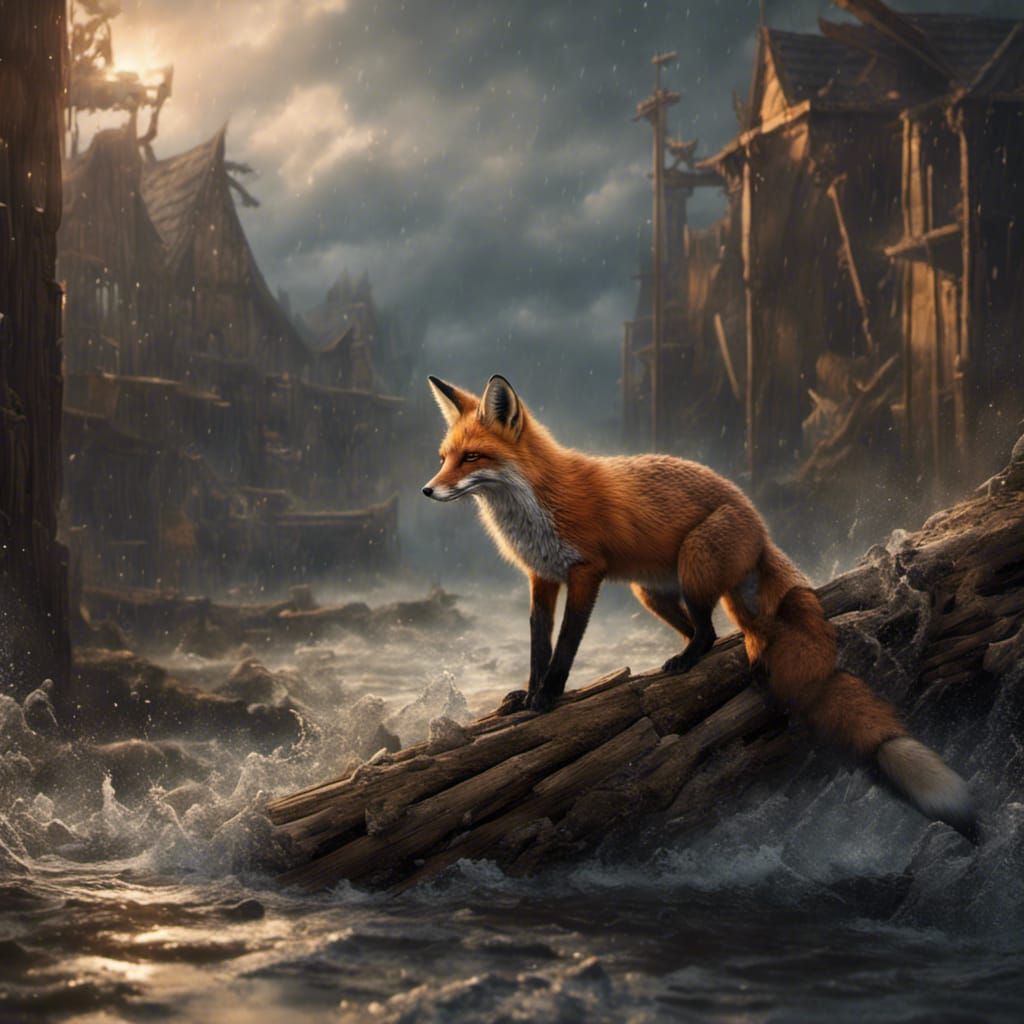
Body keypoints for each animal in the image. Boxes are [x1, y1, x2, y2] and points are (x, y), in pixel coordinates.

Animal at [422, 373, 977, 837]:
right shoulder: (541, 577)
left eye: (472, 458)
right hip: (653, 591)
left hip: (693, 563)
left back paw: (686, 663)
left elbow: (566, 645)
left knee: (709, 634)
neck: (534, 504)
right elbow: (539, 642)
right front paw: (526, 696)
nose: (427, 490)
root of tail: (760, 526)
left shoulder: (585, 573)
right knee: (703, 631)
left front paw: (550, 697)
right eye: (444, 456)